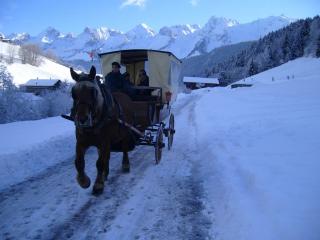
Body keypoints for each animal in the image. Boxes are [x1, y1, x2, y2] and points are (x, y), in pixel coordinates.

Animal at [70, 65, 134, 195]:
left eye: (93, 92)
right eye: (73, 93)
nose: (82, 119)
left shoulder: (104, 142)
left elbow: (99, 163)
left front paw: (98, 184)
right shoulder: (81, 142)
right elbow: (79, 162)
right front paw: (84, 181)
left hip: (124, 134)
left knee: (124, 149)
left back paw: (125, 165)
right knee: (106, 156)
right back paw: (106, 173)